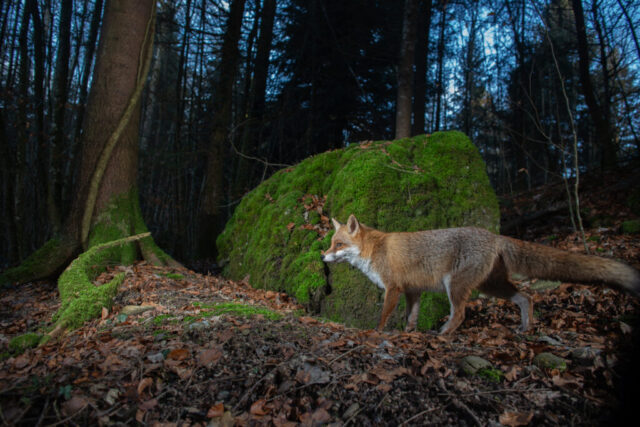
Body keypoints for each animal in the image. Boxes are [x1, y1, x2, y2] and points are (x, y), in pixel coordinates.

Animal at [321, 214, 640, 335]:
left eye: (339, 245)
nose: (322, 256)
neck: (374, 250)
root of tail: (493, 235)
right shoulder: (413, 291)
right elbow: (412, 317)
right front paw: (410, 334)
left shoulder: (394, 288)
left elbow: (384, 316)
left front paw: (376, 332)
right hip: (492, 286)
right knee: (526, 297)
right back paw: (525, 328)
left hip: (456, 286)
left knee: (460, 314)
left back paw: (444, 334)